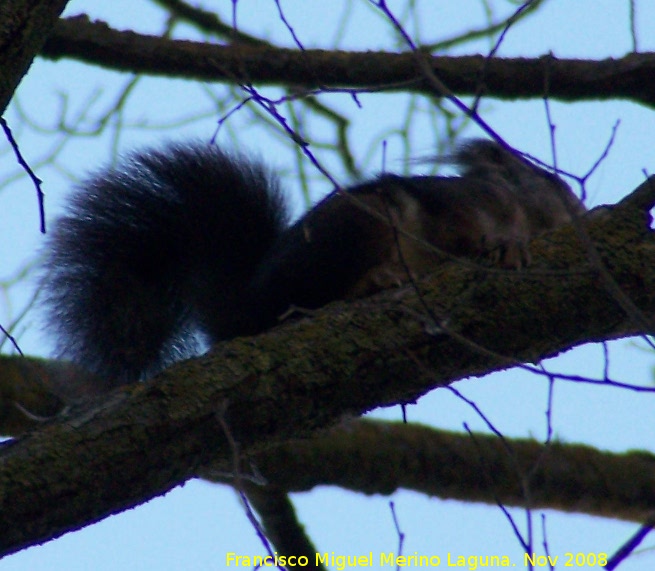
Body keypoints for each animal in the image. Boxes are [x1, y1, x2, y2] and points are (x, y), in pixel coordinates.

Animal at [38, 140, 588, 386]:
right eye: (554, 183)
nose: (582, 212)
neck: (518, 209)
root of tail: (249, 306)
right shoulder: (456, 204)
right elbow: (464, 229)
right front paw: (503, 245)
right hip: (359, 226)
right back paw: (375, 281)